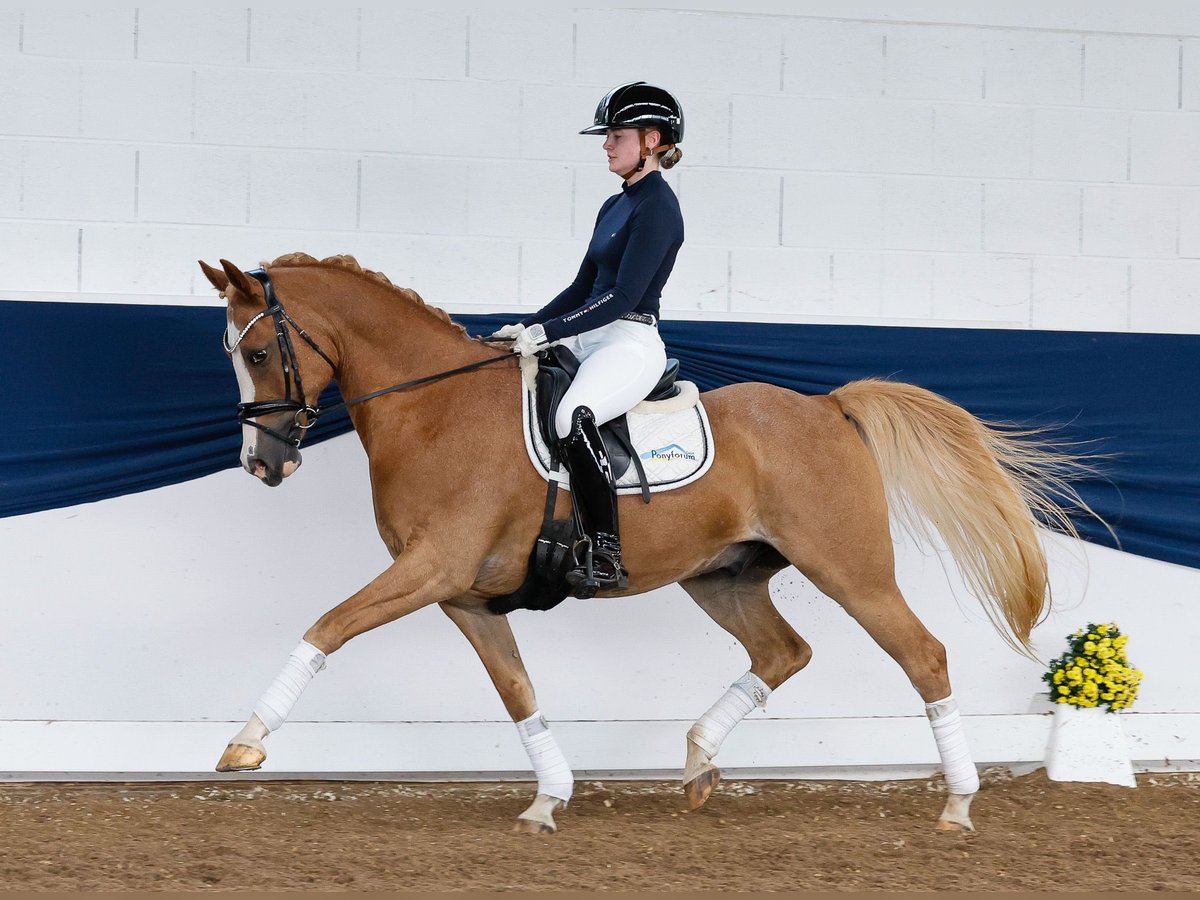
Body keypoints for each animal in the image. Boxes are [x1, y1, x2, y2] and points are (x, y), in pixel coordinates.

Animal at [201, 254, 1084, 840]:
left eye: (258, 352)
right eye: (232, 355)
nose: (262, 463)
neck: (434, 409)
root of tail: (828, 407)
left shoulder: (431, 569)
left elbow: (326, 626)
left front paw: (245, 744)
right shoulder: (463, 595)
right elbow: (516, 691)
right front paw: (548, 797)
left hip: (851, 570)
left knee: (923, 656)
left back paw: (958, 803)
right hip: (722, 578)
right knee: (783, 652)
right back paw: (697, 763)